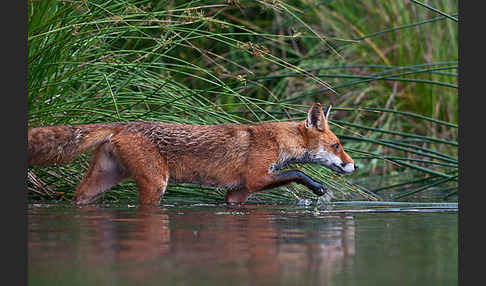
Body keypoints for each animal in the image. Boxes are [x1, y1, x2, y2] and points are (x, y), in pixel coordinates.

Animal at [28, 103, 356, 206]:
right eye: (337, 145)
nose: (353, 165)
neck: (277, 141)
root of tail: (123, 124)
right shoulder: (257, 177)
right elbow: (298, 171)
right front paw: (317, 187)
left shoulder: (238, 192)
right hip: (155, 184)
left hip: (99, 183)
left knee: (79, 197)